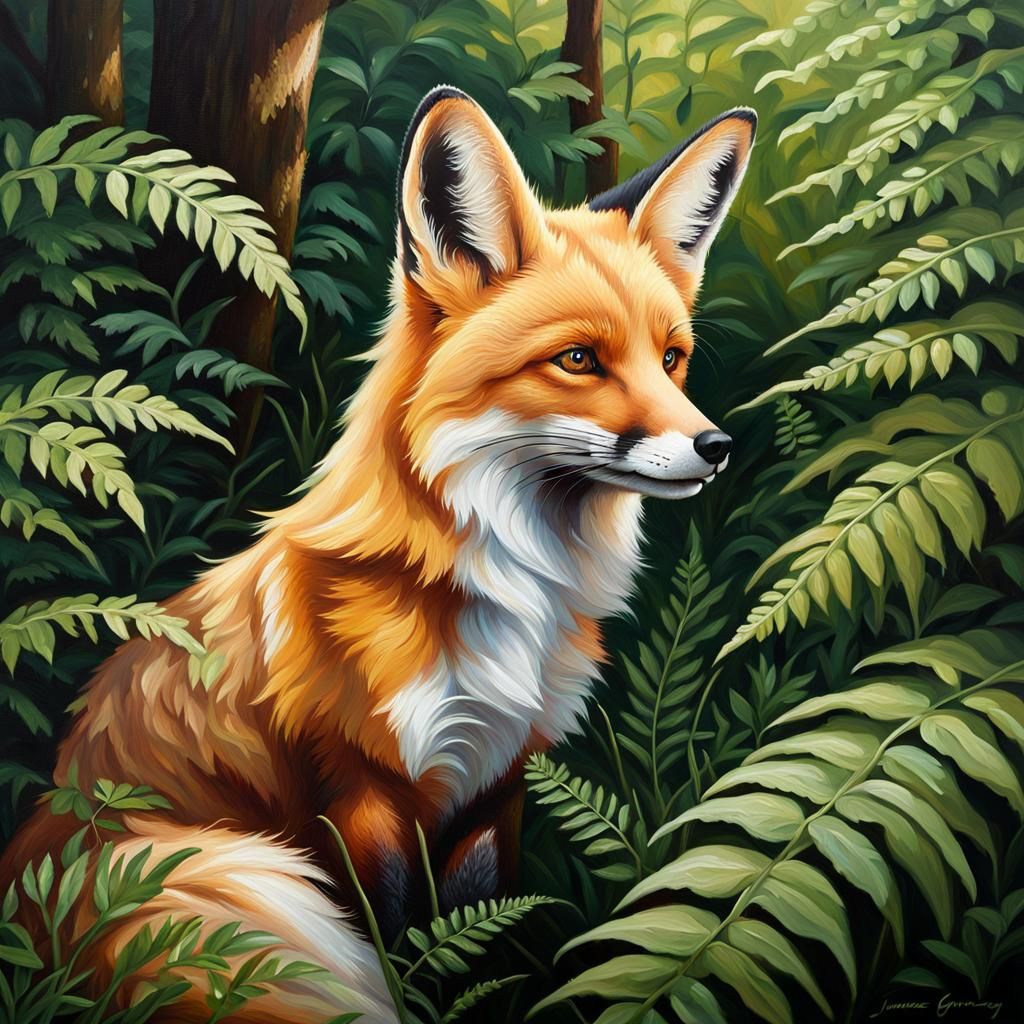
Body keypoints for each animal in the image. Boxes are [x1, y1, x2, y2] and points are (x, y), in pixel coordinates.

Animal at [1, 87, 754, 1022]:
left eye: (672, 358)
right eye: (579, 359)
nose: (717, 447)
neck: (507, 595)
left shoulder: (498, 785)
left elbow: (471, 943)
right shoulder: (366, 792)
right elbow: (403, 953)